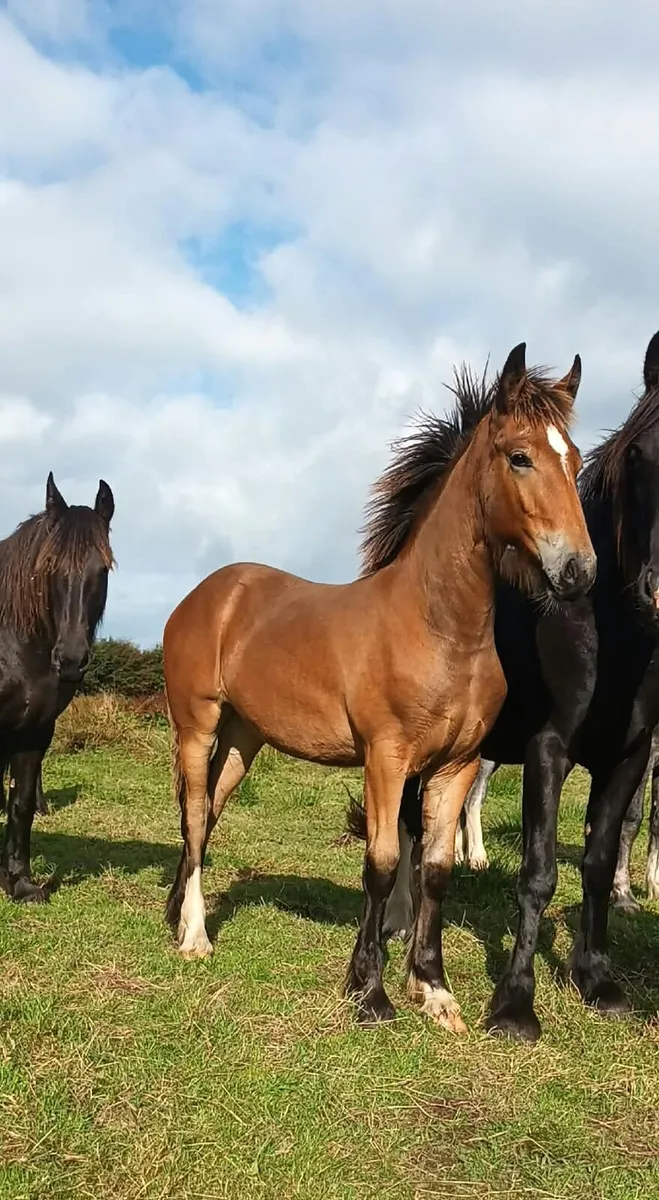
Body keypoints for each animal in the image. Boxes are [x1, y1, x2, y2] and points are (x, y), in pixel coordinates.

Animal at [0, 473, 114, 901]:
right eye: (49, 567)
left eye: (103, 569)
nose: (70, 659)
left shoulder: (35, 731)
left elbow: (21, 804)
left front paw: (19, 882)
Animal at [163, 342, 595, 1031]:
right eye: (520, 456)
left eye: (576, 460)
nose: (579, 571)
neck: (439, 629)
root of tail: (209, 594)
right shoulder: (386, 760)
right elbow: (385, 863)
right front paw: (370, 993)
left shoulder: (455, 766)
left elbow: (435, 871)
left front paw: (435, 990)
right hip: (197, 726)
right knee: (197, 816)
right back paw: (196, 936)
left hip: (242, 739)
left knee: (204, 815)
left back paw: (177, 919)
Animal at [347, 328, 659, 1041]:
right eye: (643, 456)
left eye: (577, 463)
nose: (576, 574)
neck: (609, 632)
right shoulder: (549, 749)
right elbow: (539, 872)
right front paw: (515, 1005)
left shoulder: (630, 756)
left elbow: (599, 861)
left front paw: (598, 980)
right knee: (407, 828)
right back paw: (401, 924)